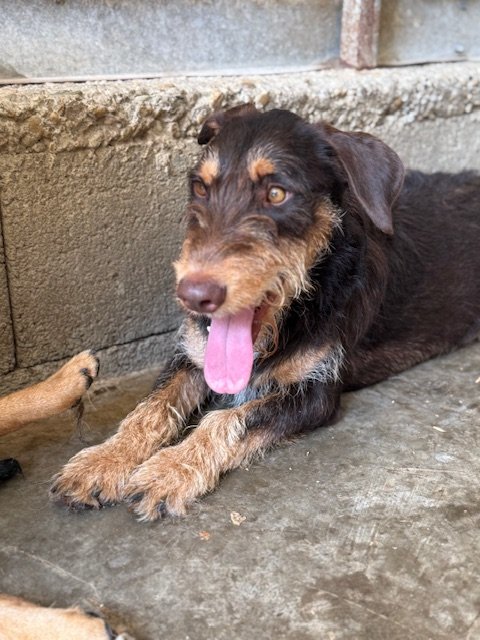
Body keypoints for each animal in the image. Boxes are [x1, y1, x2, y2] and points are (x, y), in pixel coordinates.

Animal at [50, 104, 480, 522]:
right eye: (200, 188)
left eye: (276, 193)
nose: (192, 295)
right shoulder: (192, 355)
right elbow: (150, 408)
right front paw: (103, 461)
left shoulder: (317, 392)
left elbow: (228, 418)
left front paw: (171, 469)